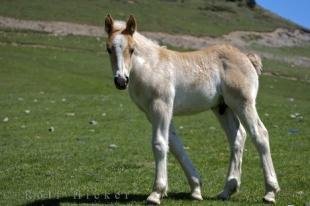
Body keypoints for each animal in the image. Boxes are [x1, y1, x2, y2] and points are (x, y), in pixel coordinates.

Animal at [104, 14, 280, 204]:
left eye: (132, 49)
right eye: (108, 49)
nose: (121, 81)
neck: (152, 66)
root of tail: (247, 58)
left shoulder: (161, 106)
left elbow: (159, 144)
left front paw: (156, 193)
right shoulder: (152, 113)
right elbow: (175, 146)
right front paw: (195, 188)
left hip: (243, 103)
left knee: (260, 134)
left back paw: (270, 192)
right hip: (222, 107)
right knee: (238, 137)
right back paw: (227, 190)